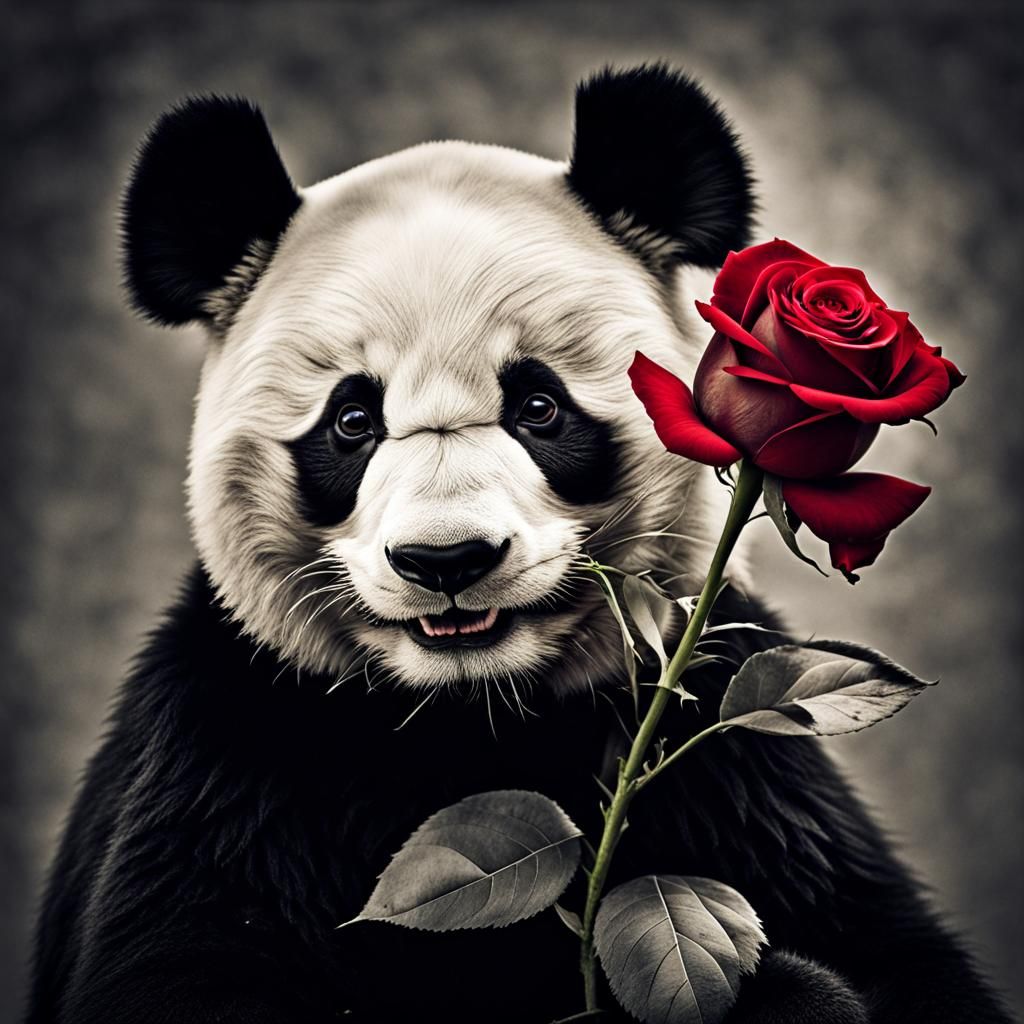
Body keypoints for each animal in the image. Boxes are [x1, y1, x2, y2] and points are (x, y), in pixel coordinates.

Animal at [26, 65, 1010, 1024]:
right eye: (351, 421)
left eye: (539, 407)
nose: (447, 562)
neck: (475, 720)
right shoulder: (235, 757)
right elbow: (186, 968)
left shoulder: (730, 755)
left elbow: (896, 961)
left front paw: (781, 997)